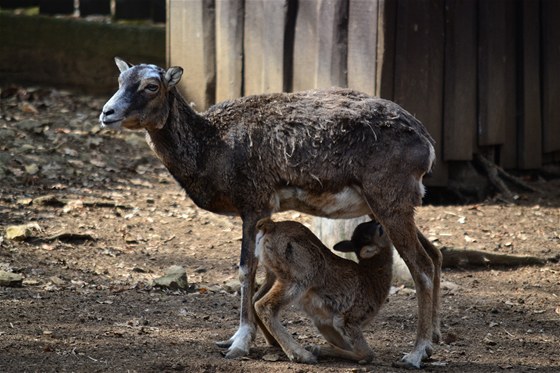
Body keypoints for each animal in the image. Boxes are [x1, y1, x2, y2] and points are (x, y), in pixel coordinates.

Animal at [252, 218, 392, 364]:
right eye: (380, 230)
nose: (378, 220)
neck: (373, 282)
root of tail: (270, 225)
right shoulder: (349, 318)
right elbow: (367, 354)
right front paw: (316, 349)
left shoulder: (323, 321)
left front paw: (318, 349)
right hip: (302, 274)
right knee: (263, 305)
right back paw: (302, 355)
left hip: (273, 273)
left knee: (254, 299)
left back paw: (274, 343)